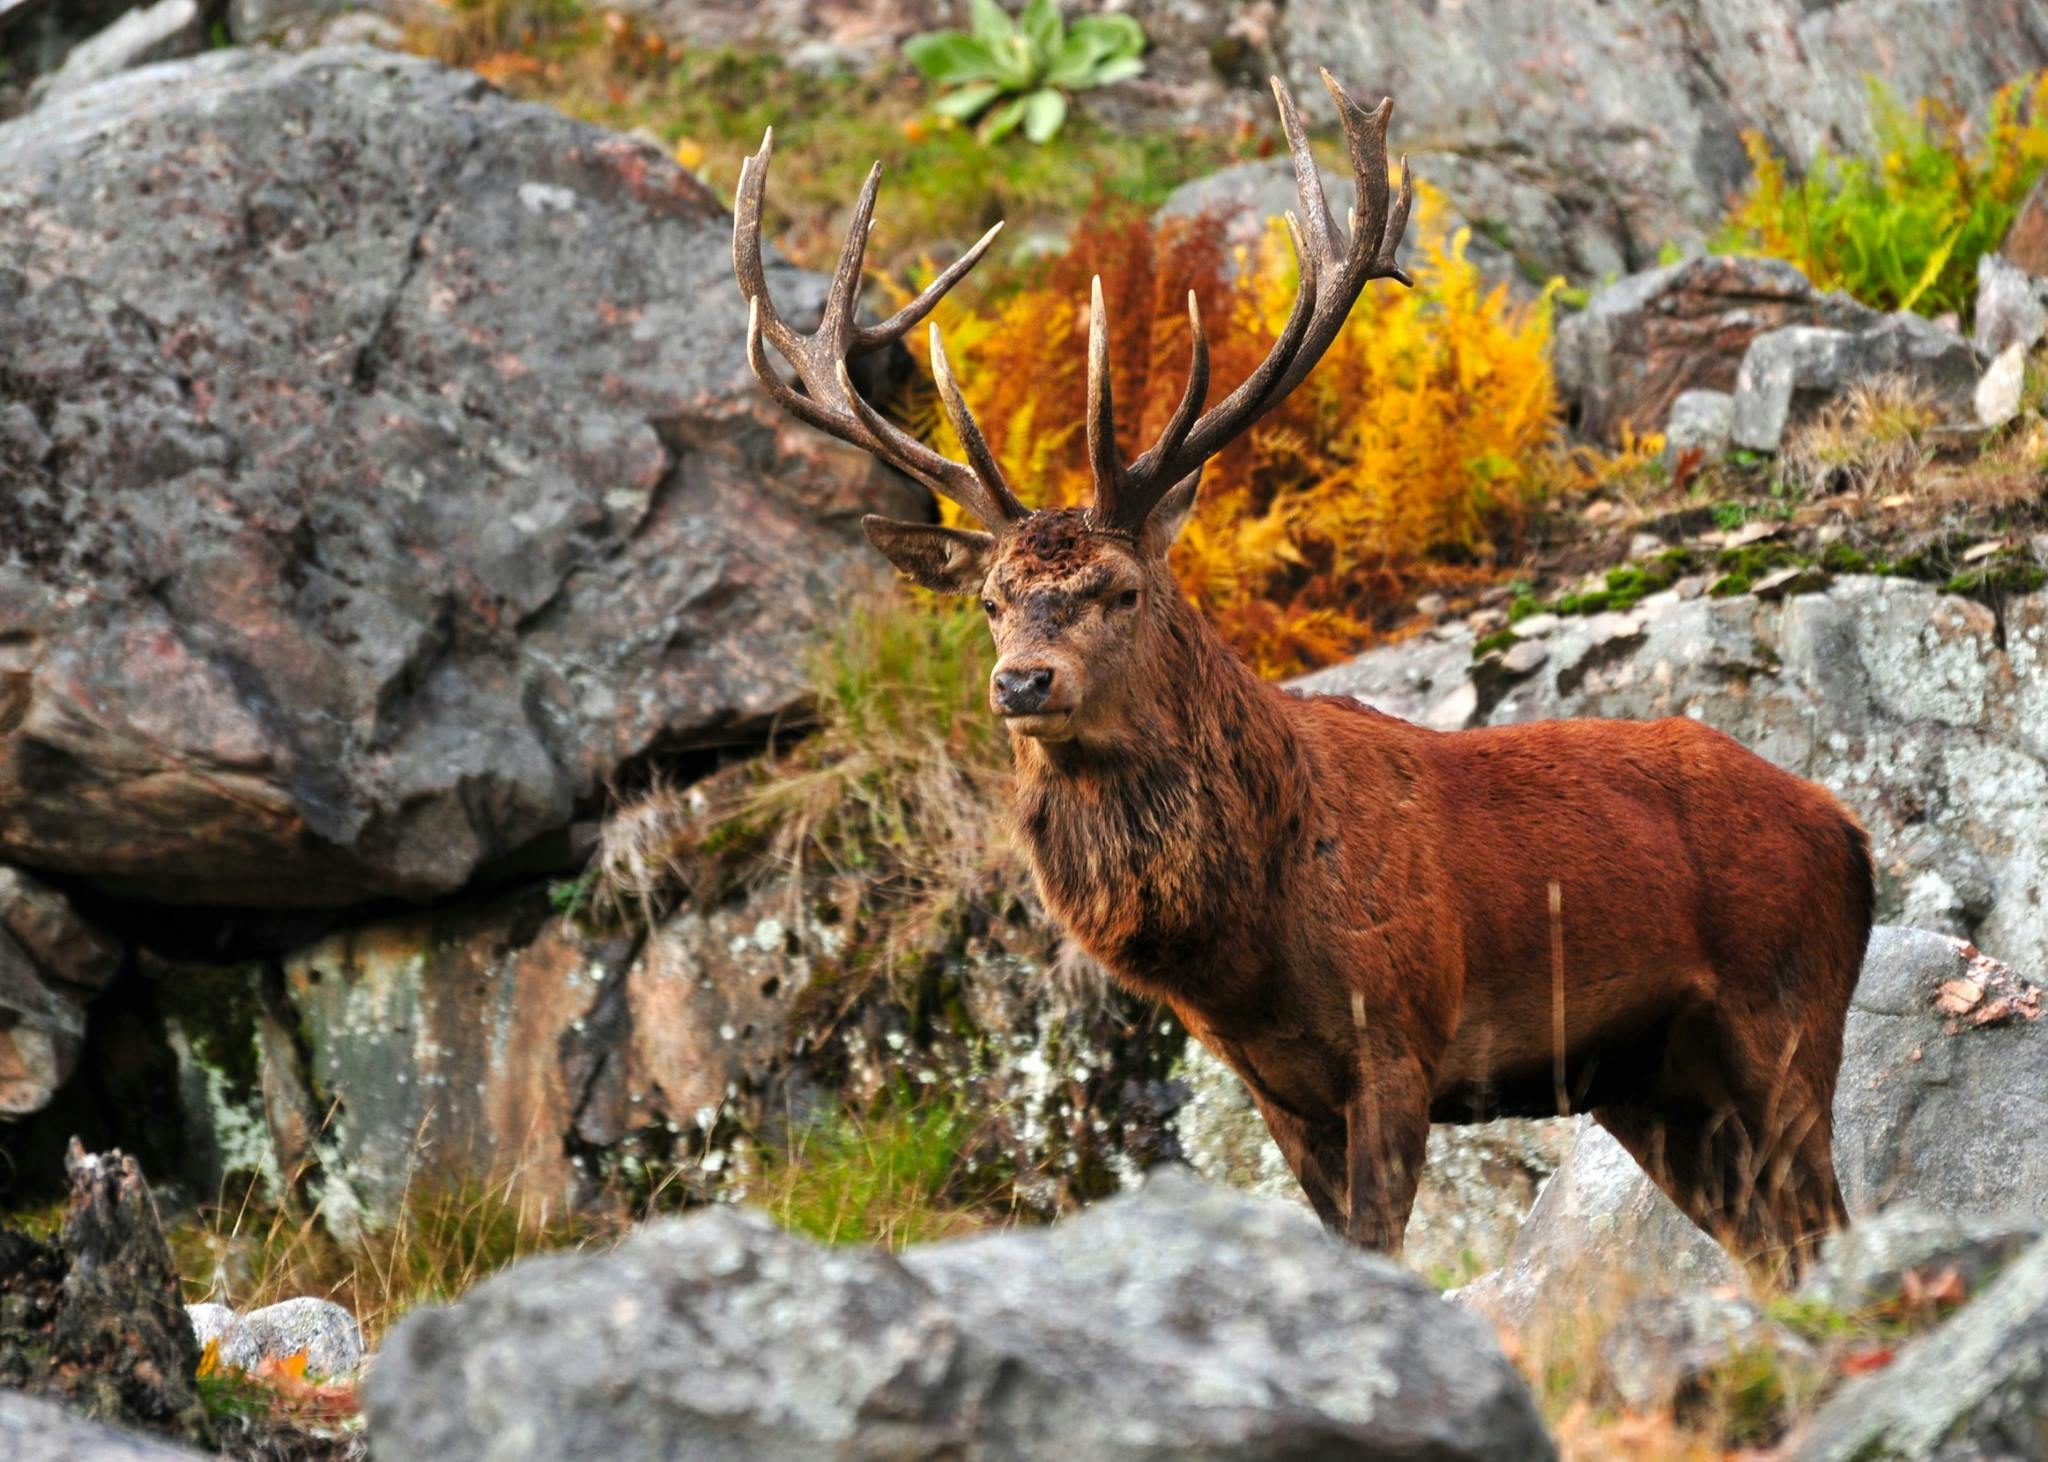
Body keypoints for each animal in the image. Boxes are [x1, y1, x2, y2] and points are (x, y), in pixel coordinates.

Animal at [732, 70, 1875, 1277]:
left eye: (1119, 590)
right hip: (1653, 1084)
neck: (1247, 941)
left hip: (1784, 1014)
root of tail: (1851, 834)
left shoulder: (1401, 1031)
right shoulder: (1273, 1087)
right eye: (989, 602)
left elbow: (1380, 1243)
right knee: (1776, 1248)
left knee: (1830, 1219)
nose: (1022, 684)